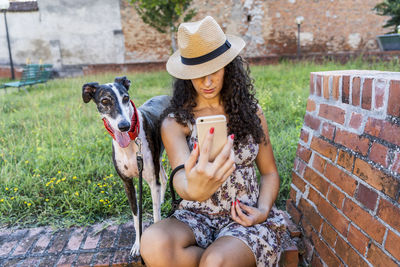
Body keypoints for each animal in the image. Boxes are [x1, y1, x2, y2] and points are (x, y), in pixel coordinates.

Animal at [83, 76, 170, 256]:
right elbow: (136, 217)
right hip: (158, 158)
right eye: (105, 101)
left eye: (126, 98)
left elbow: (156, 215)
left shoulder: (152, 180)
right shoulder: (127, 183)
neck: (131, 141)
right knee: (164, 177)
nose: (124, 126)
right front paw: (138, 244)